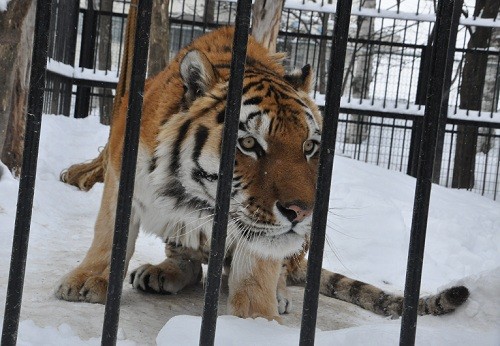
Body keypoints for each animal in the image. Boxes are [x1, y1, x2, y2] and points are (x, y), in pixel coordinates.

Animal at [56, 27, 470, 322]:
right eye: (249, 143)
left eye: (309, 147)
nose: (302, 212)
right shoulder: (120, 172)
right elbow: (108, 235)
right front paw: (85, 283)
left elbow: (257, 273)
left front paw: (258, 323)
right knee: (188, 263)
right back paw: (162, 272)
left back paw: (281, 295)